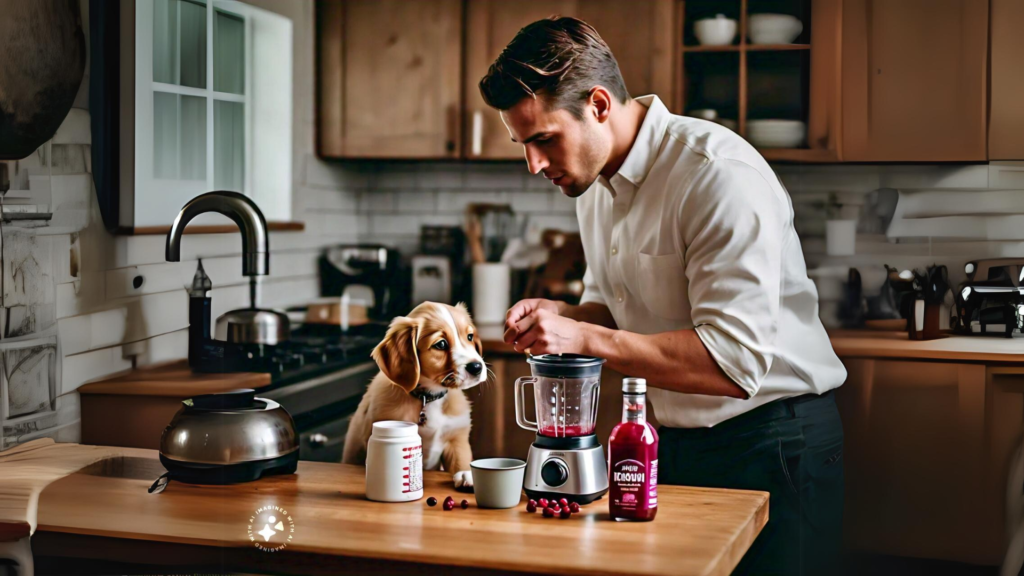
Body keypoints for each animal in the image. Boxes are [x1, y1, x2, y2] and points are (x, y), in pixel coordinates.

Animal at [342, 301, 485, 487]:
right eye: (441, 344)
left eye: (469, 337)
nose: (477, 367)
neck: (428, 398)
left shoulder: (457, 439)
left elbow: (461, 461)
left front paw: (467, 475)